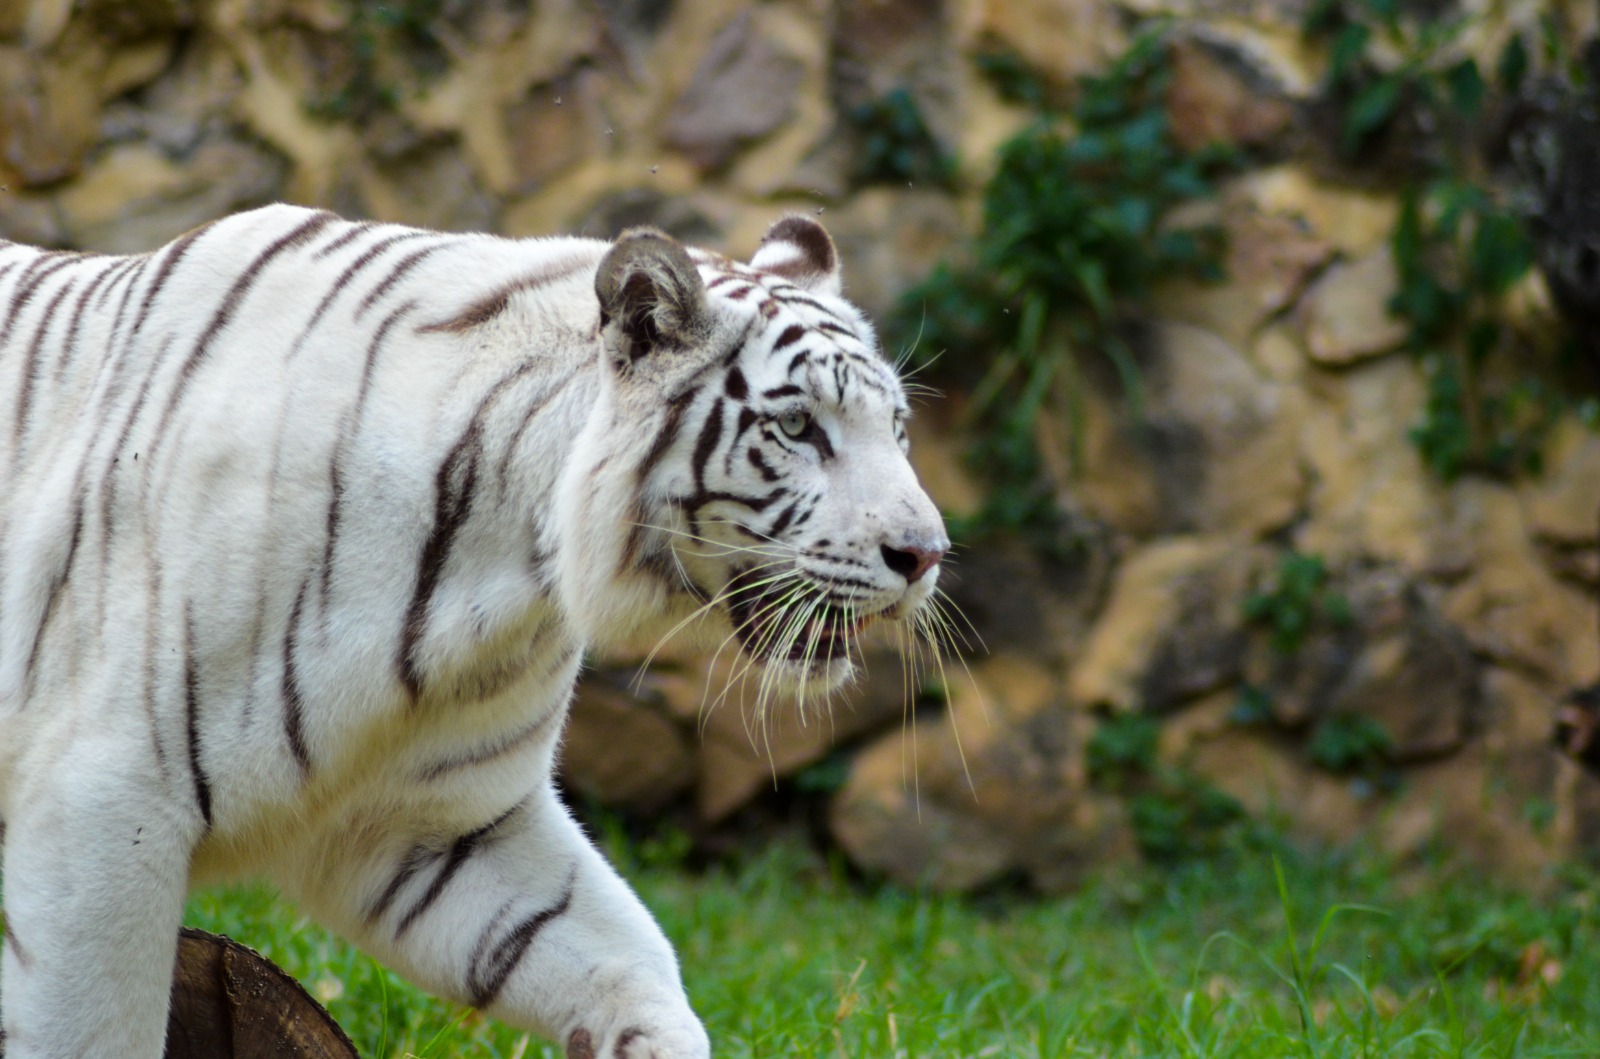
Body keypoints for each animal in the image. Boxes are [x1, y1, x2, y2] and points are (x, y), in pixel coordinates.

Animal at [0, 209, 947, 1059]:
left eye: (898, 428)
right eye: (797, 427)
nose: (926, 554)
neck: (501, 573)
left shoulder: (440, 821)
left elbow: (630, 963)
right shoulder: (106, 802)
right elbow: (88, 1029)